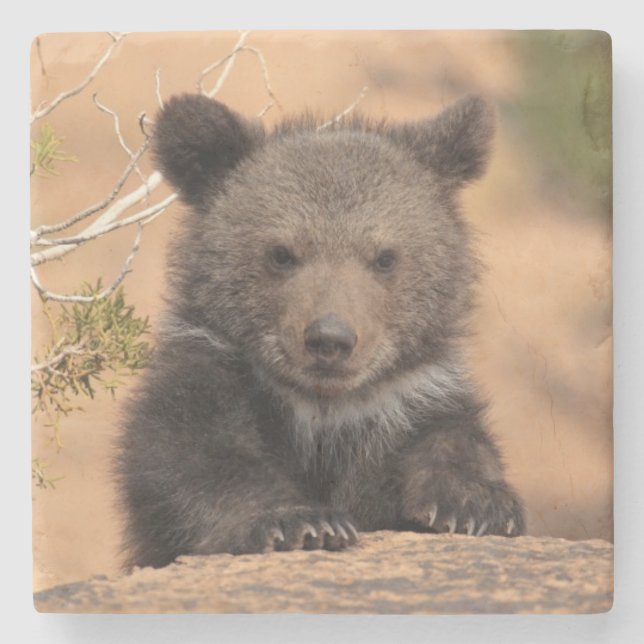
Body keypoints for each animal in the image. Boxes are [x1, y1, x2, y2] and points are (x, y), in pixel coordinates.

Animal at [115, 93, 525, 570]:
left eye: (385, 257)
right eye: (281, 253)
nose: (330, 339)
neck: (324, 411)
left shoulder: (411, 399)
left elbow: (454, 439)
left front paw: (476, 504)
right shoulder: (212, 377)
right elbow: (193, 457)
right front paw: (300, 521)